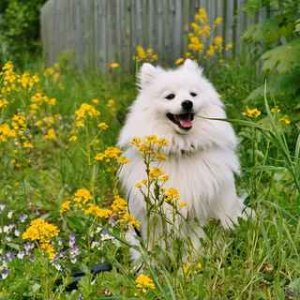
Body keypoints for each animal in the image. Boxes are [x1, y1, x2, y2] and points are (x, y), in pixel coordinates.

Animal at [118, 59, 247, 258]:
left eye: (193, 94)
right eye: (170, 96)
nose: (187, 103)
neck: (181, 149)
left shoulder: (198, 215)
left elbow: (196, 245)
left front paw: (191, 264)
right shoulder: (154, 219)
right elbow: (154, 248)